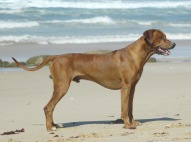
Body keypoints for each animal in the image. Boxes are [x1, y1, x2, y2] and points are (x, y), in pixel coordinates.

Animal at [12, 28, 175, 131]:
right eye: (161, 37)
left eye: (165, 36)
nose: (174, 44)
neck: (137, 54)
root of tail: (56, 56)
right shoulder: (126, 87)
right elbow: (124, 108)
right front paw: (128, 125)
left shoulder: (132, 87)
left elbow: (130, 107)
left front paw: (133, 122)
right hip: (62, 86)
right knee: (48, 107)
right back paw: (49, 127)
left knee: (50, 107)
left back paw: (54, 124)